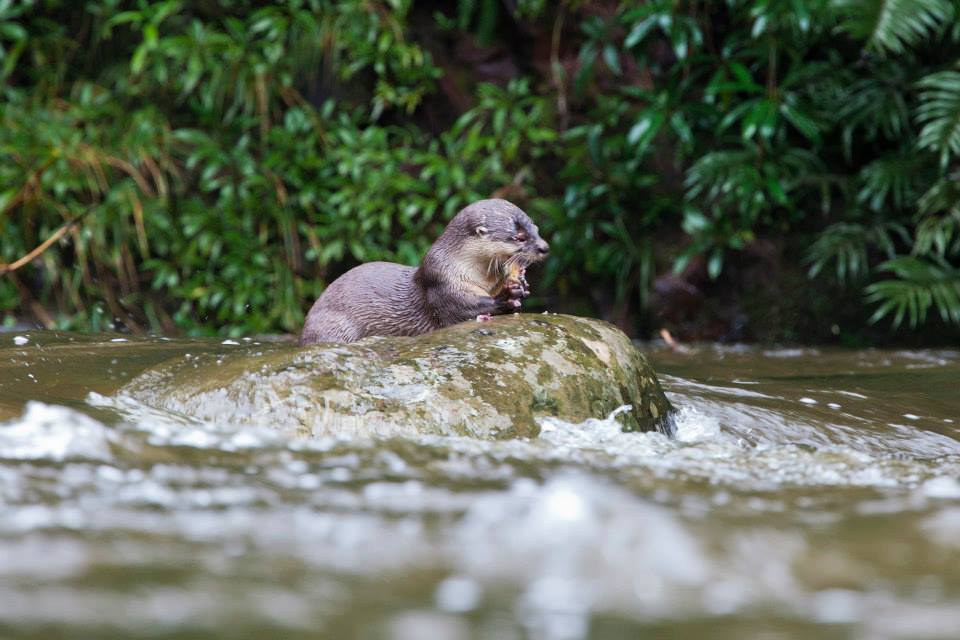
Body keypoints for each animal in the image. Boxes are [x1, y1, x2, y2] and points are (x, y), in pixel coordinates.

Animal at [300, 200, 556, 344]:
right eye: (519, 237)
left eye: (536, 229)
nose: (544, 247)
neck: (464, 268)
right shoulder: (442, 282)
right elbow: (464, 308)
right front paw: (507, 296)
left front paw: (521, 288)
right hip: (334, 326)